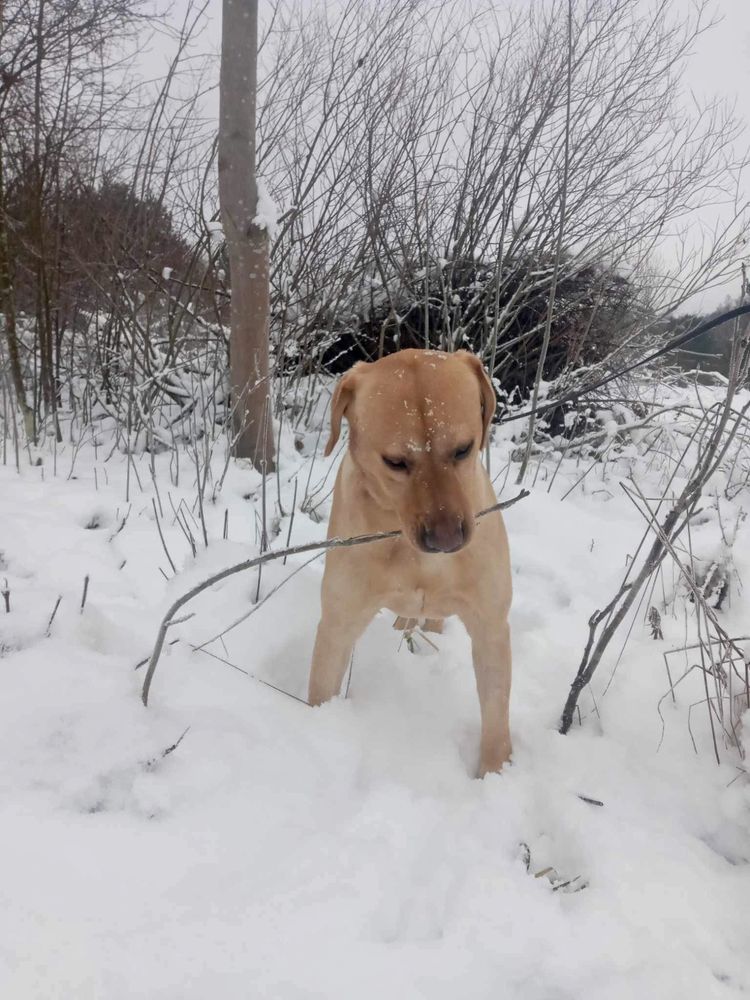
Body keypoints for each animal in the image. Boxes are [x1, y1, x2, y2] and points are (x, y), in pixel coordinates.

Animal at [308, 348, 516, 776]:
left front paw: (495, 774)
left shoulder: (491, 627)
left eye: (463, 448)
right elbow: (321, 687)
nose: (447, 540)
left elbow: (496, 718)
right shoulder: (338, 624)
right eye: (395, 462)